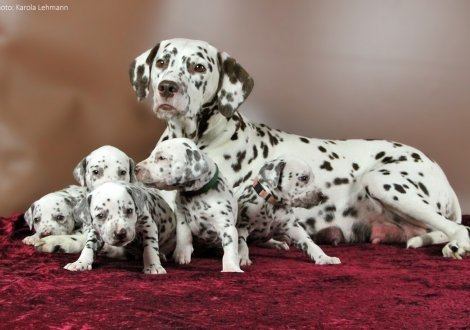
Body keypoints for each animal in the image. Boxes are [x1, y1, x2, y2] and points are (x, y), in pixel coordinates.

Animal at [133, 138, 241, 272]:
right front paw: (181, 254)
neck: (196, 195)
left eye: (162, 158)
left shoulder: (226, 226)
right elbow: (184, 235)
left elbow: (230, 249)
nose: (135, 169)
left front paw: (231, 268)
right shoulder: (181, 216)